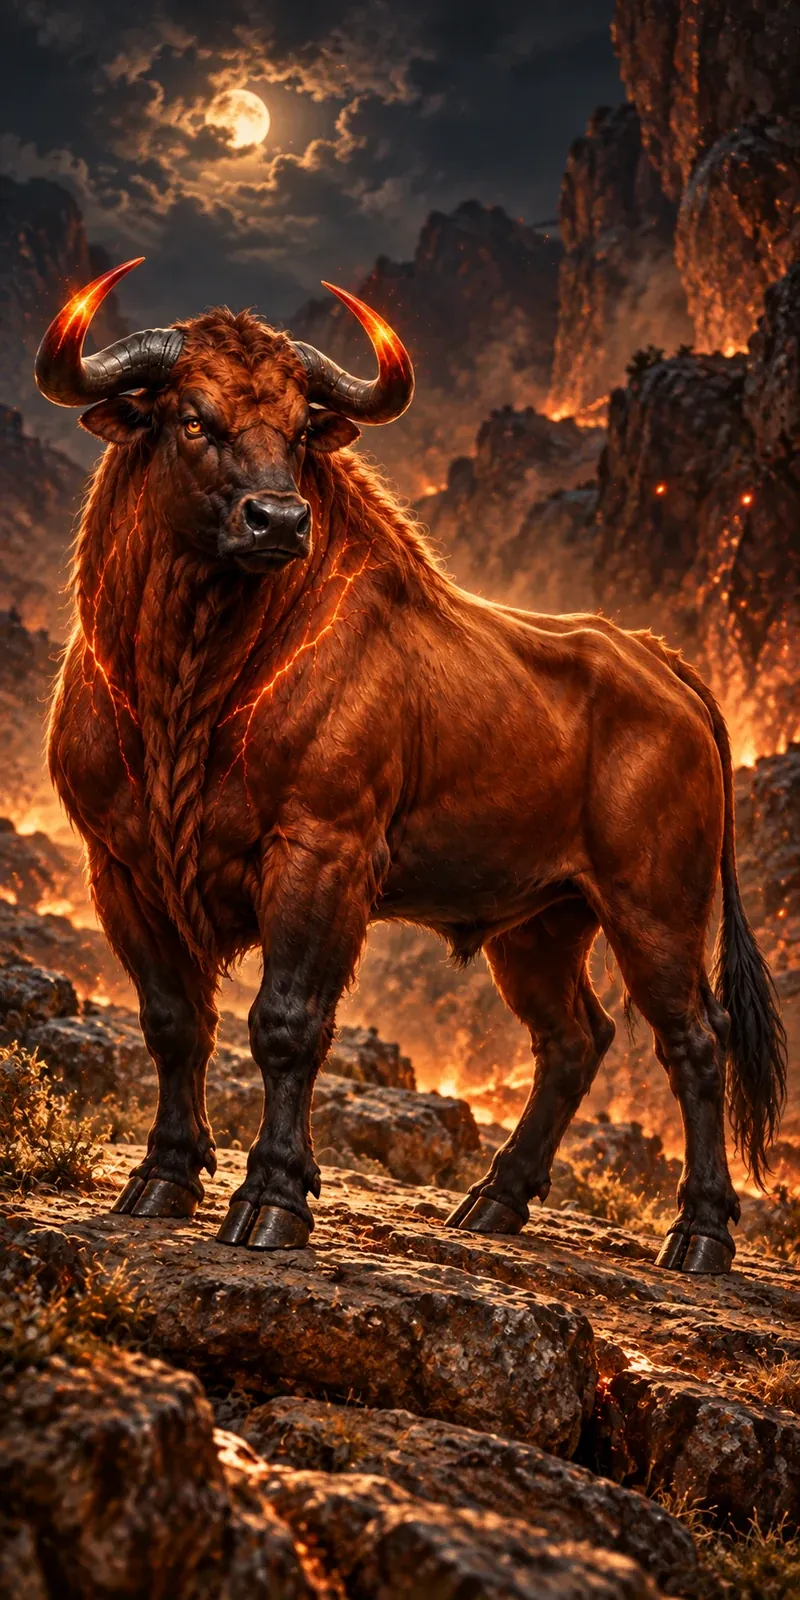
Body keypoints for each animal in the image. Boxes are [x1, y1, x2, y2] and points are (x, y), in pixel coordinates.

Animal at [36, 258, 786, 1272]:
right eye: (192, 417)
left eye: (299, 426)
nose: (278, 519)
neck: (187, 682)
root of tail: (657, 663)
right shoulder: (120, 869)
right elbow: (175, 1021)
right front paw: (160, 1181)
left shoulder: (321, 858)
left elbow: (286, 1023)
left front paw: (272, 1201)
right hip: (543, 923)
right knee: (573, 1040)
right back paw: (494, 1201)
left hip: (655, 908)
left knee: (693, 1043)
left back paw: (699, 1234)